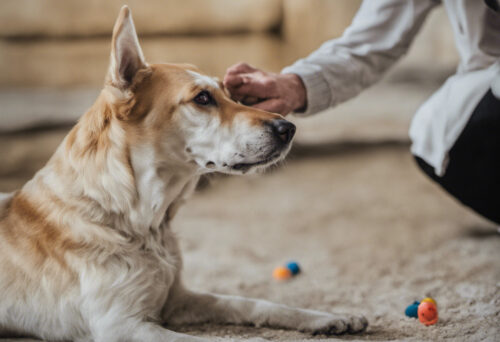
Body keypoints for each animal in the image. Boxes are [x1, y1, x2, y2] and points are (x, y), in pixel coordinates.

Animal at [0, 6, 368, 342]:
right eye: (202, 98)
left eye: (231, 94)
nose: (288, 128)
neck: (139, 219)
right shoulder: (121, 325)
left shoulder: (177, 298)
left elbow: (252, 303)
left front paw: (327, 318)